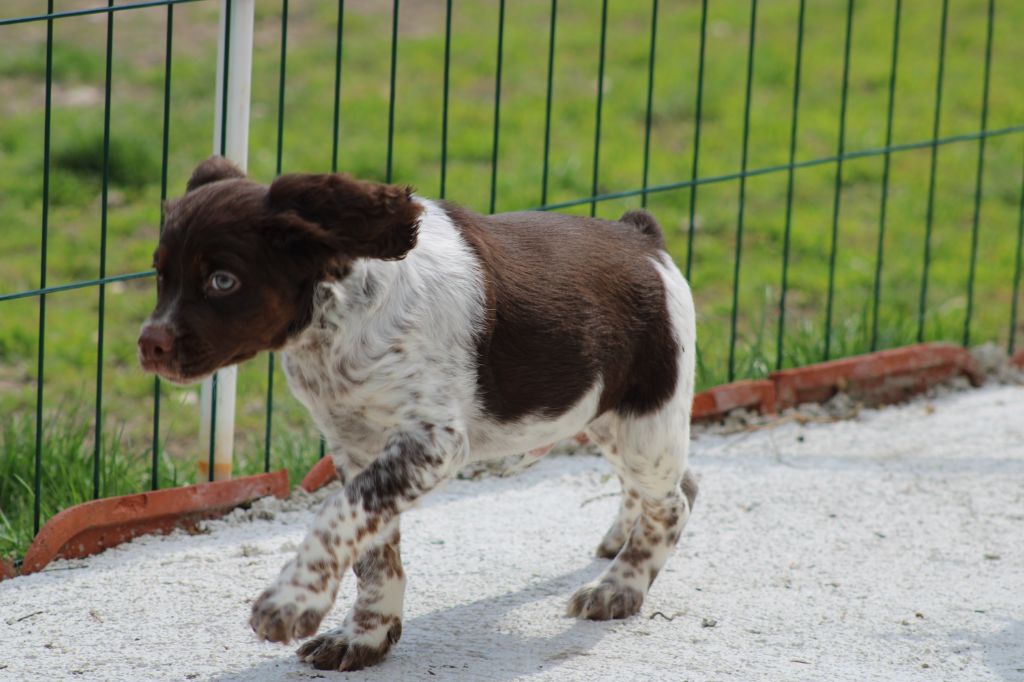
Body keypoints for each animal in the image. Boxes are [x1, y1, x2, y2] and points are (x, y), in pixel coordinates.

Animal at [138, 156, 696, 671]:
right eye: (160, 274)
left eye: (222, 281)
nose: (150, 345)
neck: (339, 319)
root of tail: (641, 236)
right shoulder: (357, 448)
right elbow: (371, 548)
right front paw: (364, 636)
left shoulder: (432, 442)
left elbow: (336, 514)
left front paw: (291, 602)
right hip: (607, 418)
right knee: (674, 484)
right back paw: (618, 543)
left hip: (646, 416)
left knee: (673, 502)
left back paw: (620, 587)